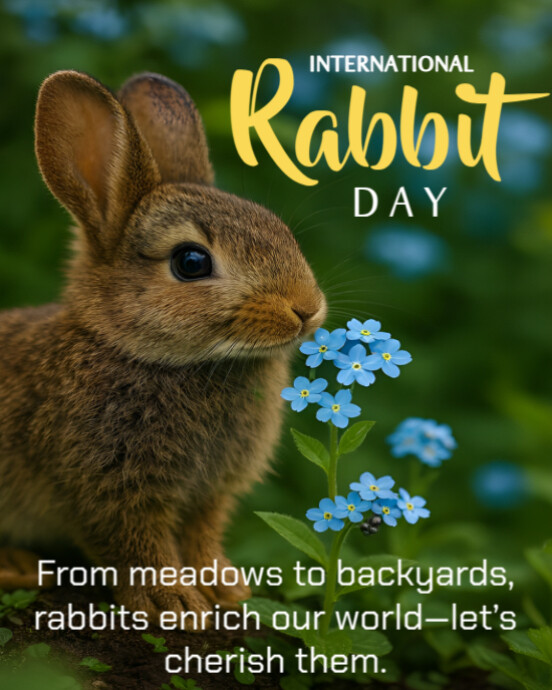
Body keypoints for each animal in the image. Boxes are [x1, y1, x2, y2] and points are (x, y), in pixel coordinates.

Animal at [0, 70, 326, 626]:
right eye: (191, 262)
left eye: (278, 228)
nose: (306, 309)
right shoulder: (110, 491)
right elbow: (138, 547)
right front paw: (171, 604)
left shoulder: (210, 494)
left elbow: (201, 538)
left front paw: (223, 589)